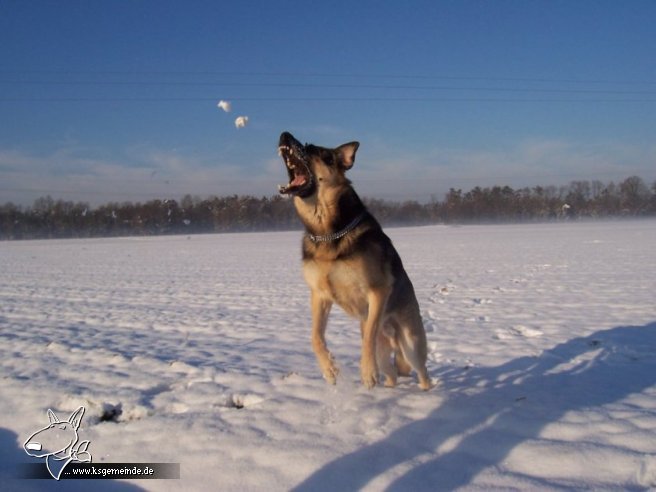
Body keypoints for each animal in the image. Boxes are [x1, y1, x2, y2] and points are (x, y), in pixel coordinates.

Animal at [276, 133, 430, 390]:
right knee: (391, 373)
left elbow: (368, 336)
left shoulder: (378, 291)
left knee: (422, 372)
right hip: (386, 353)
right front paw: (329, 369)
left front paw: (366, 372)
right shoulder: (319, 295)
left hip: (411, 345)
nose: (285, 134)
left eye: (317, 151)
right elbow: (315, 337)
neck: (328, 232)